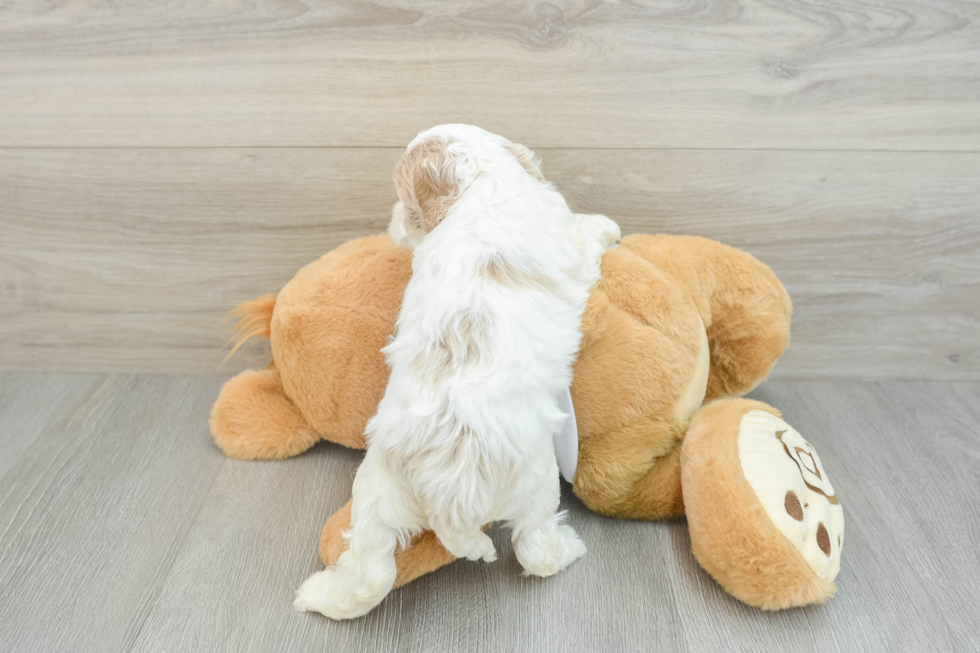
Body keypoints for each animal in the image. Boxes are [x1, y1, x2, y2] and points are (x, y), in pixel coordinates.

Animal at [290, 125, 620, 620]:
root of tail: (447, 493)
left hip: (376, 493)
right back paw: (566, 548)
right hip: (536, 480)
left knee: (371, 569)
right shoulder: (569, 242)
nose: (392, 222)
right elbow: (588, 232)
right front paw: (609, 227)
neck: (485, 180)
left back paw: (319, 595)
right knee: (534, 546)